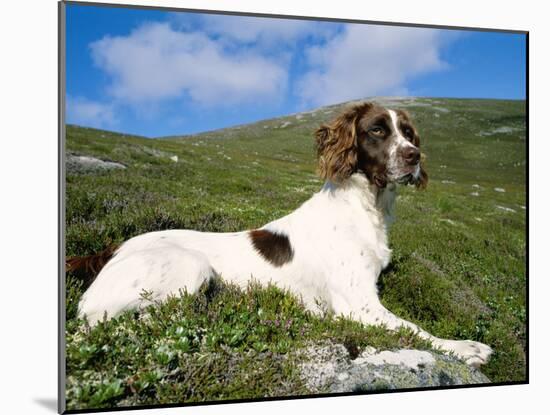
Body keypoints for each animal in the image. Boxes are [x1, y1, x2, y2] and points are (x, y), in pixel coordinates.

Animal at [70, 102, 496, 368]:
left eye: (408, 133)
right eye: (377, 130)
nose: (414, 157)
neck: (365, 207)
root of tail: (111, 249)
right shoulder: (358, 305)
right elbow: (414, 328)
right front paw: (464, 348)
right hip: (189, 266)